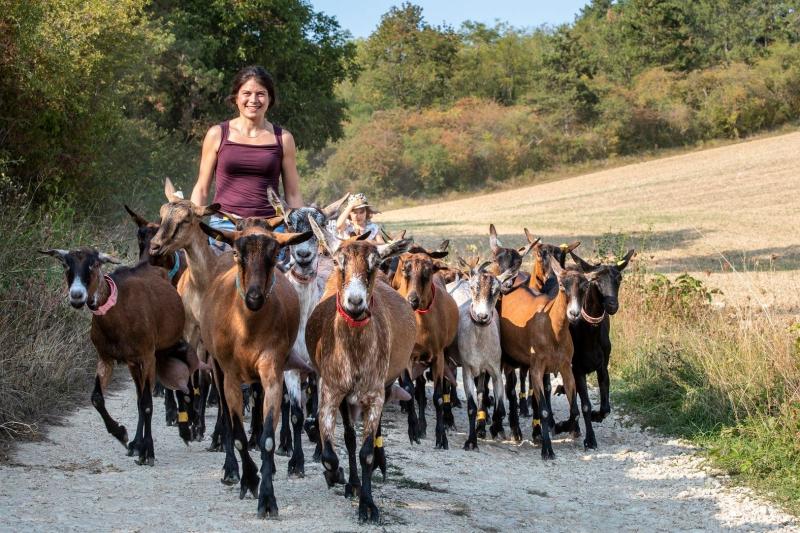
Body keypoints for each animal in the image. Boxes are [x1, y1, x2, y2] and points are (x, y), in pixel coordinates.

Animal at [40, 247, 203, 464]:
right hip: (135, 363)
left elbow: (147, 404)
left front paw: (148, 451)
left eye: (94, 264)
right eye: (66, 264)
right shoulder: (106, 358)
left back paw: (185, 429)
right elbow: (97, 398)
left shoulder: (147, 356)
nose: (76, 295)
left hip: (173, 342)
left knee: (182, 383)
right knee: (140, 396)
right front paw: (122, 434)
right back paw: (137, 443)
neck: (118, 313)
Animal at [200, 219, 312, 516]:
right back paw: (231, 470)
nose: (253, 297)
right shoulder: (229, 374)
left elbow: (268, 439)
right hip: (217, 367)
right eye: (238, 255)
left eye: (274, 256)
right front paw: (248, 479)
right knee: (226, 418)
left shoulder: (272, 370)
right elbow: (237, 432)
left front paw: (267, 498)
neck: (246, 328)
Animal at [304, 220, 416, 524]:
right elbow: (332, 451)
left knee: (373, 437)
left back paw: (380, 462)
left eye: (374, 265)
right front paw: (336, 476)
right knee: (349, 437)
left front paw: (368, 505)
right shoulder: (331, 390)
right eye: (338, 262)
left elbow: (366, 451)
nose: (355, 302)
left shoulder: (374, 394)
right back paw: (350, 481)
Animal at [392, 243, 460, 446]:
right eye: (405, 270)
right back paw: (421, 426)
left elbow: (438, 397)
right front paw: (413, 430)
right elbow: (409, 390)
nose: (412, 300)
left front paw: (441, 437)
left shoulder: (438, 356)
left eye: (427, 273)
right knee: (420, 391)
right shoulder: (407, 356)